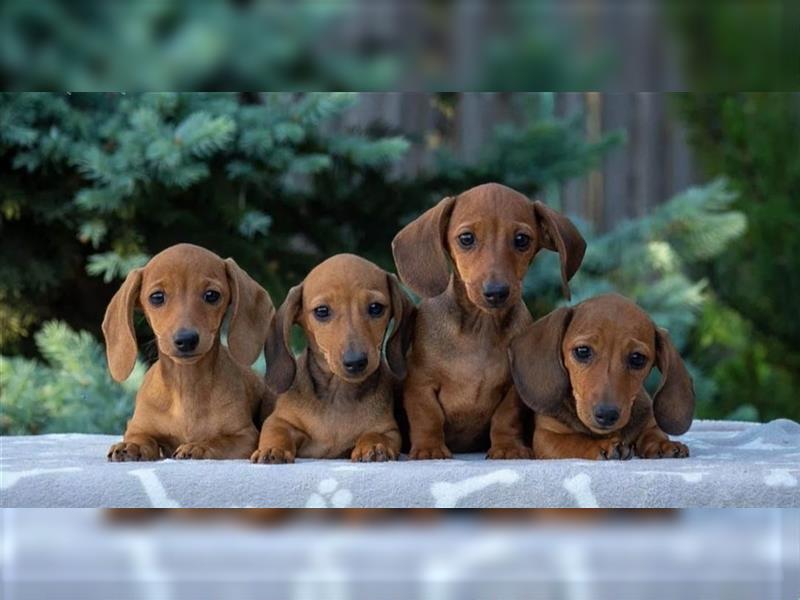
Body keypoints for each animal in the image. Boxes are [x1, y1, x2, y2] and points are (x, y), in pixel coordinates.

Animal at [104, 243, 274, 460]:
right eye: (157, 297)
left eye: (212, 295)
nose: (186, 340)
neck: (186, 386)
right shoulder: (137, 428)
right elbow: (141, 438)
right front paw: (132, 446)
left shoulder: (245, 436)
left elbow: (218, 442)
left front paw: (197, 447)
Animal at [252, 253, 416, 464]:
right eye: (322, 311)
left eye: (376, 308)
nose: (356, 362)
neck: (339, 394)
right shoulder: (278, 421)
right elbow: (277, 432)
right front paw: (273, 449)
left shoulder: (389, 430)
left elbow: (376, 434)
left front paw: (374, 446)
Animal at [390, 183, 584, 460]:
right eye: (466, 238)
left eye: (522, 240)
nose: (496, 292)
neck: (479, 328)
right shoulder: (420, 383)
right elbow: (427, 416)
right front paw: (429, 448)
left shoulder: (513, 389)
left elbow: (505, 418)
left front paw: (508, 447)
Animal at [512, 294, 692, 460]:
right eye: (582, 351)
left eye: (637, 358)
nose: (607, 414)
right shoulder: (546, 436)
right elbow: (576, 440)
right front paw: (601, 445)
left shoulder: (649, 423)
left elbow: (653, 433)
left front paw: (662, 444)